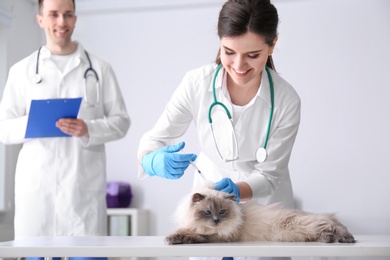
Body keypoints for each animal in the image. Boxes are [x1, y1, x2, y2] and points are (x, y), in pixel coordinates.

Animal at [166, 186, 354, 245]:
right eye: (207, 212)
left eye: (222, 212)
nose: (216, 220)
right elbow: (186, 231)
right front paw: (172, 238)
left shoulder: (220, 236)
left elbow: (194, 235)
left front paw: (173, 239)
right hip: (300, 232)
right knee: (326, 229)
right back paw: (329, 239)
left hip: (299, 226)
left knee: (333, 224)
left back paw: (347, 239)